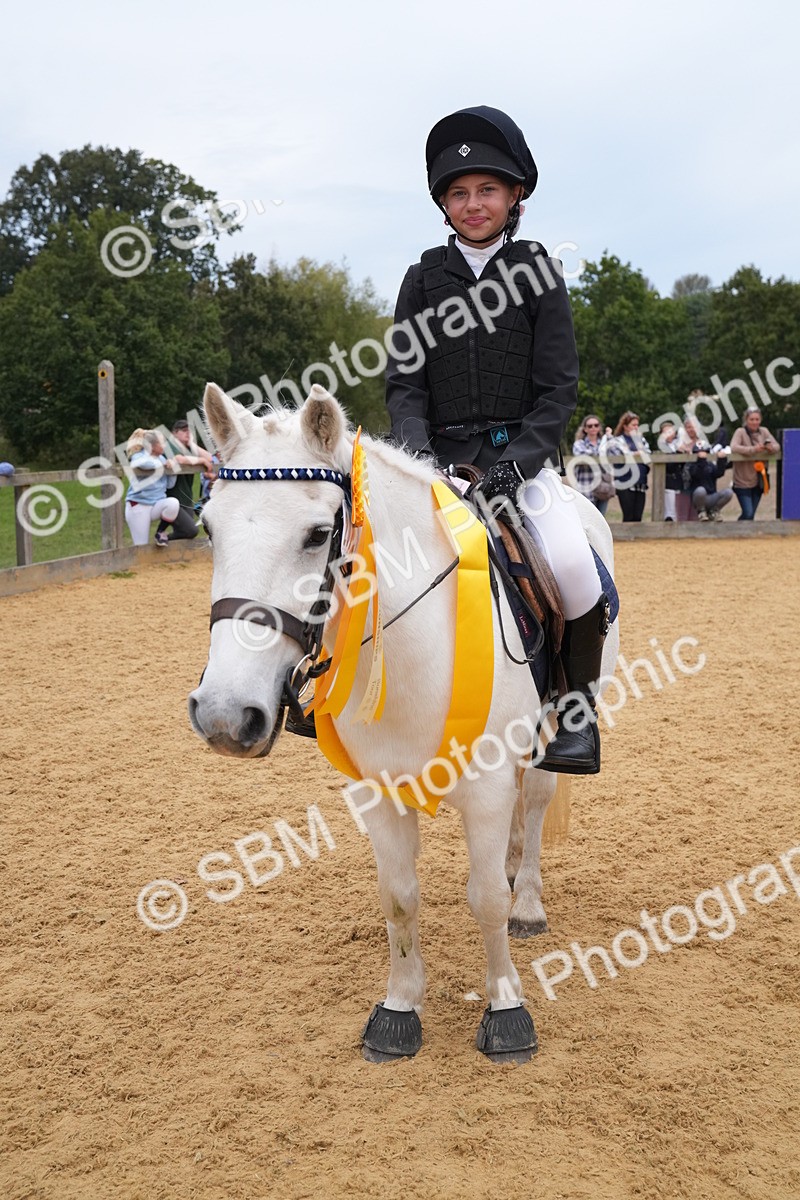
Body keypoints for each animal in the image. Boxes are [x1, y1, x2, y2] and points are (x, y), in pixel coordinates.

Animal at [189, 382, 620, 1063]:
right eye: (209, 527)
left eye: (318, 534)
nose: (227, 716)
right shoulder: (378, 790)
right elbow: (398, 897)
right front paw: (399, 1010)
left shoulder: (486, 786)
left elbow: (485, 900)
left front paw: (507, 1011)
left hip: (555, 726)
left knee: (535, 801)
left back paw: (527, 899)